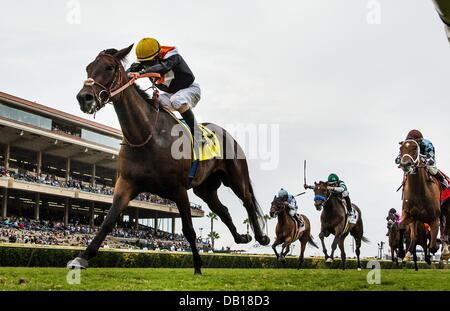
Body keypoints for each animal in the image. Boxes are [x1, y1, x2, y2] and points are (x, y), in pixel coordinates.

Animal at [68, 44, 268, 276]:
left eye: (109, 67)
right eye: (88, 67)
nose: (84, 98)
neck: (148, 136)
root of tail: (226, 134)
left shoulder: (178, 189)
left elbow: (189, 230)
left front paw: (197, 267)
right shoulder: (126, 184)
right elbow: (108, 222)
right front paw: (81, 258)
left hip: (235, 177)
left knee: (247, 200)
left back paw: (262, 237)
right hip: (205, 188)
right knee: (223, 210)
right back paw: (241, 237)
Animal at [398, 141, 440, 270]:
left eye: (415, 149)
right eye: (401, 149)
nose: (405, 164)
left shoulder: (435, 218)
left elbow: (432, 244)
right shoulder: (410, 215)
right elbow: (403, 229)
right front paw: (403, 254)